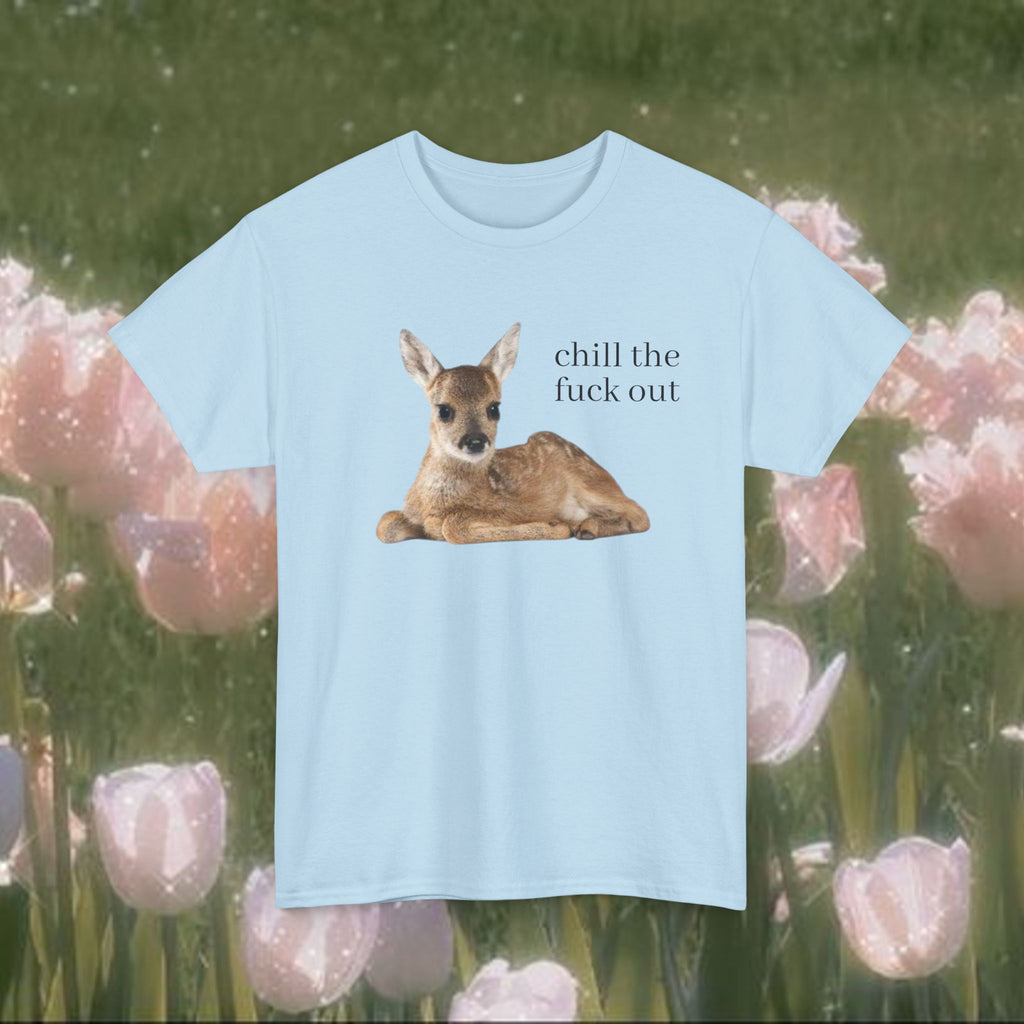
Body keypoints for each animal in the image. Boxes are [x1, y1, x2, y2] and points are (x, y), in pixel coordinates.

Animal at [376, 323, 650, 544]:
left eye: (493, 408)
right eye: (444, 410)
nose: (475, 441)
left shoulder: (513, 507)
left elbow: (453, 526)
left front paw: (555, 525)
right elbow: (384, 524)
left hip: (588, 482)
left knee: (639, 513)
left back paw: (587, 526)